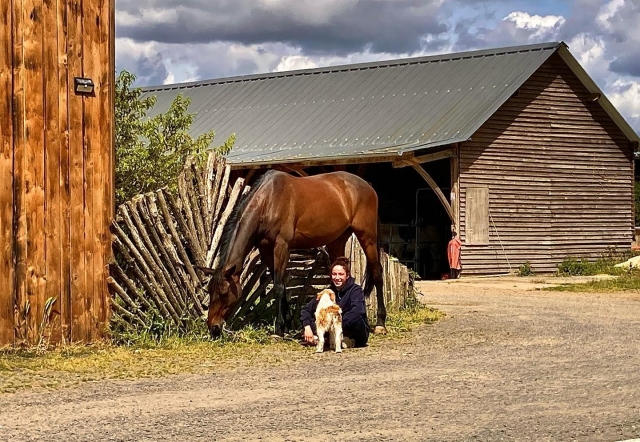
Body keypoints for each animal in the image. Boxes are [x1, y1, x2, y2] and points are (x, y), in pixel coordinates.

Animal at [204, 170, 386, 338]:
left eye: (224, 293)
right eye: (209, 292)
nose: (213, 328)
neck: (268, 202)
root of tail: (368, 186)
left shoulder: (282, 246)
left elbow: (278, 286)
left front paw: (278, 329)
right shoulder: (266, 250)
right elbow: (281, 284)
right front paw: (287, 324)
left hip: (367, 237)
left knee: (377, 273)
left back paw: (380, 324)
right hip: (337, 241)